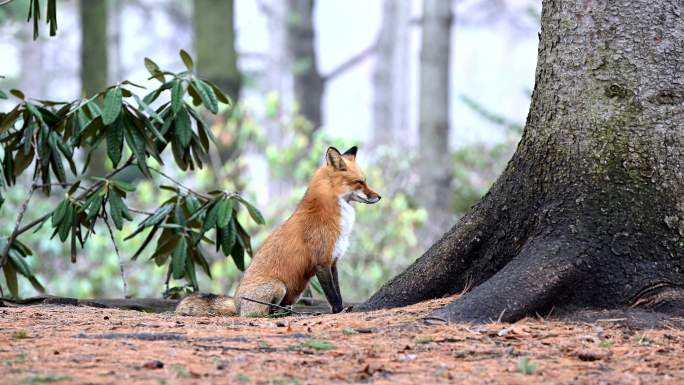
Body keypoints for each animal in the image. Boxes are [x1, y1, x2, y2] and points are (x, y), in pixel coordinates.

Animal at [175, 146, 380, 316]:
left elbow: (337, 290)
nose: (379, 197)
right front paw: (339, 311)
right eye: (359, 182)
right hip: (279, 286)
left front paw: (342, 307)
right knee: (258, 312)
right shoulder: (322, 261)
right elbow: (332, 295)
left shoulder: (333, 261)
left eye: (365, 181)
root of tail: (235, 301)